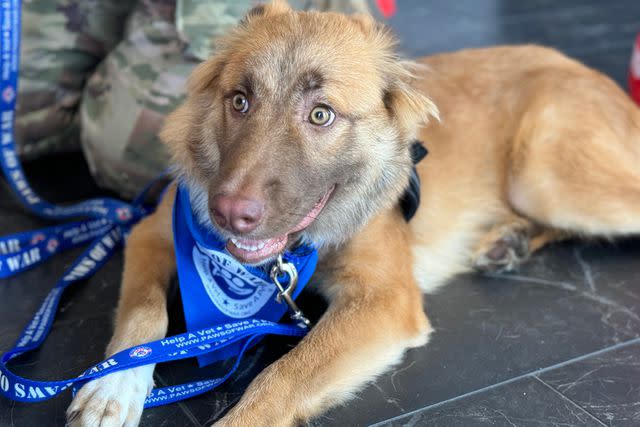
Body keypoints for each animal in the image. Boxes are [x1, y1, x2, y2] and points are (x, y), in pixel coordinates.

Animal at [65, 1, 640, 426]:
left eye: (321, 115)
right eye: (240, 101)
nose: (230, 216)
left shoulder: (383, 301)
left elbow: (280, 377)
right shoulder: (151, 232)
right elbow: (142, 313)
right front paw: (111, 384)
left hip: (545, 178)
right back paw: (508, 241)